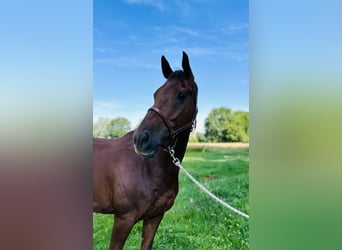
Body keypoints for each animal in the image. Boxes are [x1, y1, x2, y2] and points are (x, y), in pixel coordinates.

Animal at [93, 51, 198, 249]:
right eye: (155, 93)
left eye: (181, 94)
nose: (141, 139)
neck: (149, 168)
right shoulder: (123, 219)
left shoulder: (155, 216)